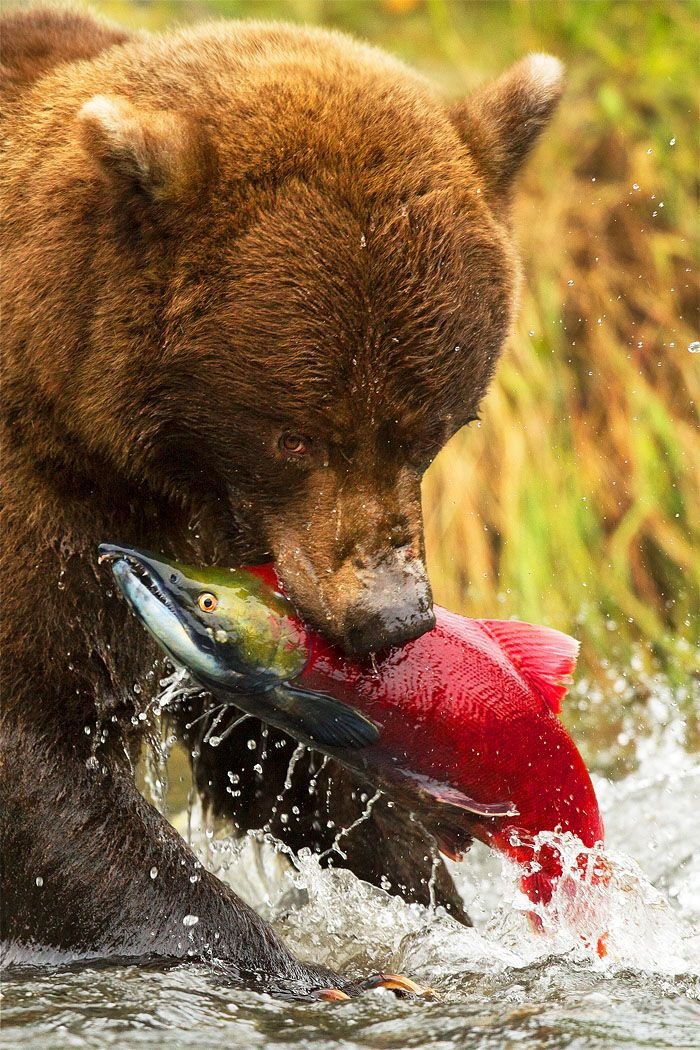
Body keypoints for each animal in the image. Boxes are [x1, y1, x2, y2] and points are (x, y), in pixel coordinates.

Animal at [0, 6, 562, 991]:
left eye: (435, 428)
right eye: (297, 435)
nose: (391, 617)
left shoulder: (222, 554)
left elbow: (282, 757)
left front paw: (441, 909)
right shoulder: (47, 503)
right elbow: (40, 763)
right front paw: (299, 963)